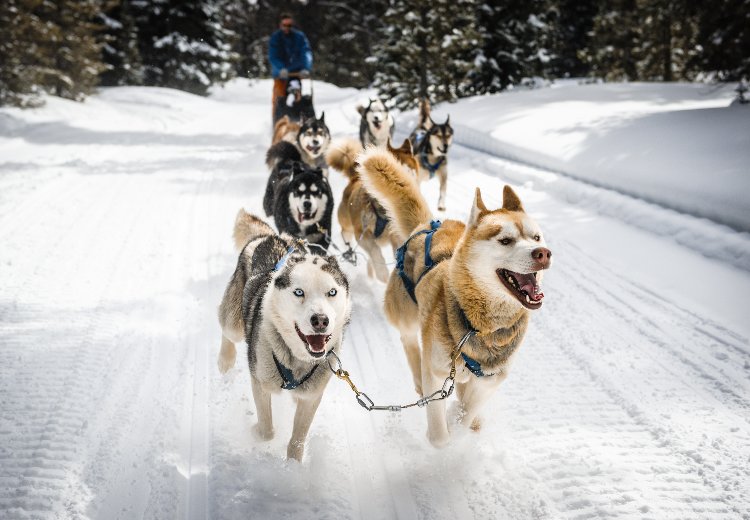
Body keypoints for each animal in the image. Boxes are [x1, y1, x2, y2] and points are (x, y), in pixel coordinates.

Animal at [217, 209, 352, 462]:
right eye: (299, 292)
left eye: (332, 292)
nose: (321, 320)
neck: (296, 359)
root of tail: (273, 236)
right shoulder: (260, 382)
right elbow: (267, 430)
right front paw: (256, 431)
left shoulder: (311, 397)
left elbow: (298, 439)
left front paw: (293, 466)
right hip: (234, 322)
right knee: (227, 331)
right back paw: (225, 360)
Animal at [328, 134, 424, 280]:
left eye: (405, 166)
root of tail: (354, 178)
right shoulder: (362, 233)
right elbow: (375, 251)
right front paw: (382, 272)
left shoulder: (396, 236)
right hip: (347, 226)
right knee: (348, 238)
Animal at [358, 147, 552, 446]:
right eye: (505, 241)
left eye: (536, 237)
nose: (543, 253)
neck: (479, 327)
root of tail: (429, 224)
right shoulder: (437, 373)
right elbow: (440, 435)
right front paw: (445, 430)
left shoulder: (491, 379)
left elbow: (467, 410)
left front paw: (463, 419)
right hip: (406, 314)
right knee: (409, 342)